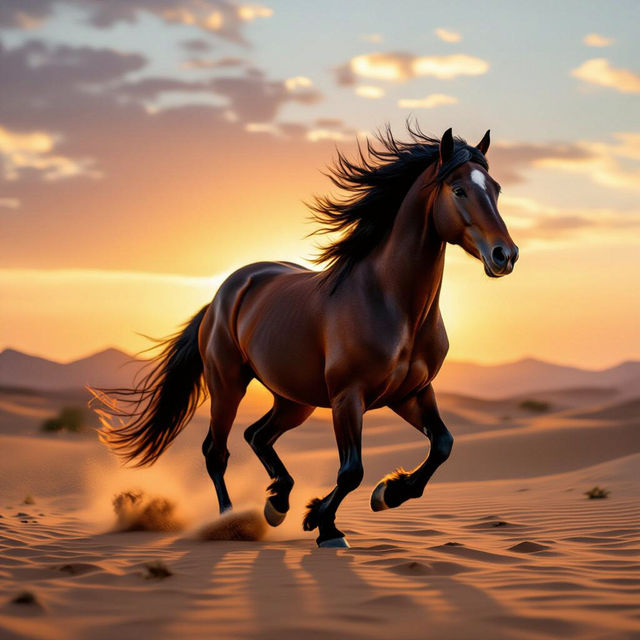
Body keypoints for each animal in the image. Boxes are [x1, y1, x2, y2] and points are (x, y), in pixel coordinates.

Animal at [93, 125, 518, 548]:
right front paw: (325, 526)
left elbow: (442, 445)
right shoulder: (349, 397)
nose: (505, 255)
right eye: (459, 190)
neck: (391, 304)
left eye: (496, 189)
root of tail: (226, 290)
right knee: (217, 451)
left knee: (257, 435)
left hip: (295, 400)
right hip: (228, 385)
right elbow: (351, 470)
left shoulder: (412, 393)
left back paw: (277, 502)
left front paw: (386, 493)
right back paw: (231, 522)